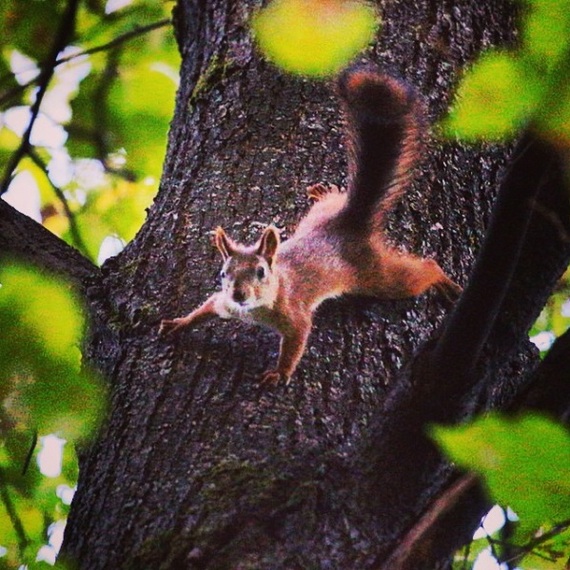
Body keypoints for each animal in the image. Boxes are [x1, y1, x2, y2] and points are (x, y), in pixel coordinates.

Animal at [158, 67, 460, 386]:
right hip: (318, 216)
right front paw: (179, 322)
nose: (239, 294)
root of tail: (348, 221)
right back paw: (323, 192)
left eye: (261, 272)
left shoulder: (295, 314)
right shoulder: (224, 303)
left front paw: (279, 373)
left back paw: (441, 280)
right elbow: (207, 307)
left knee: (418, 272)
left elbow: (296, 342)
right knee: (331, 200)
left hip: (378, 274)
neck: (255, 307)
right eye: (223, 273)